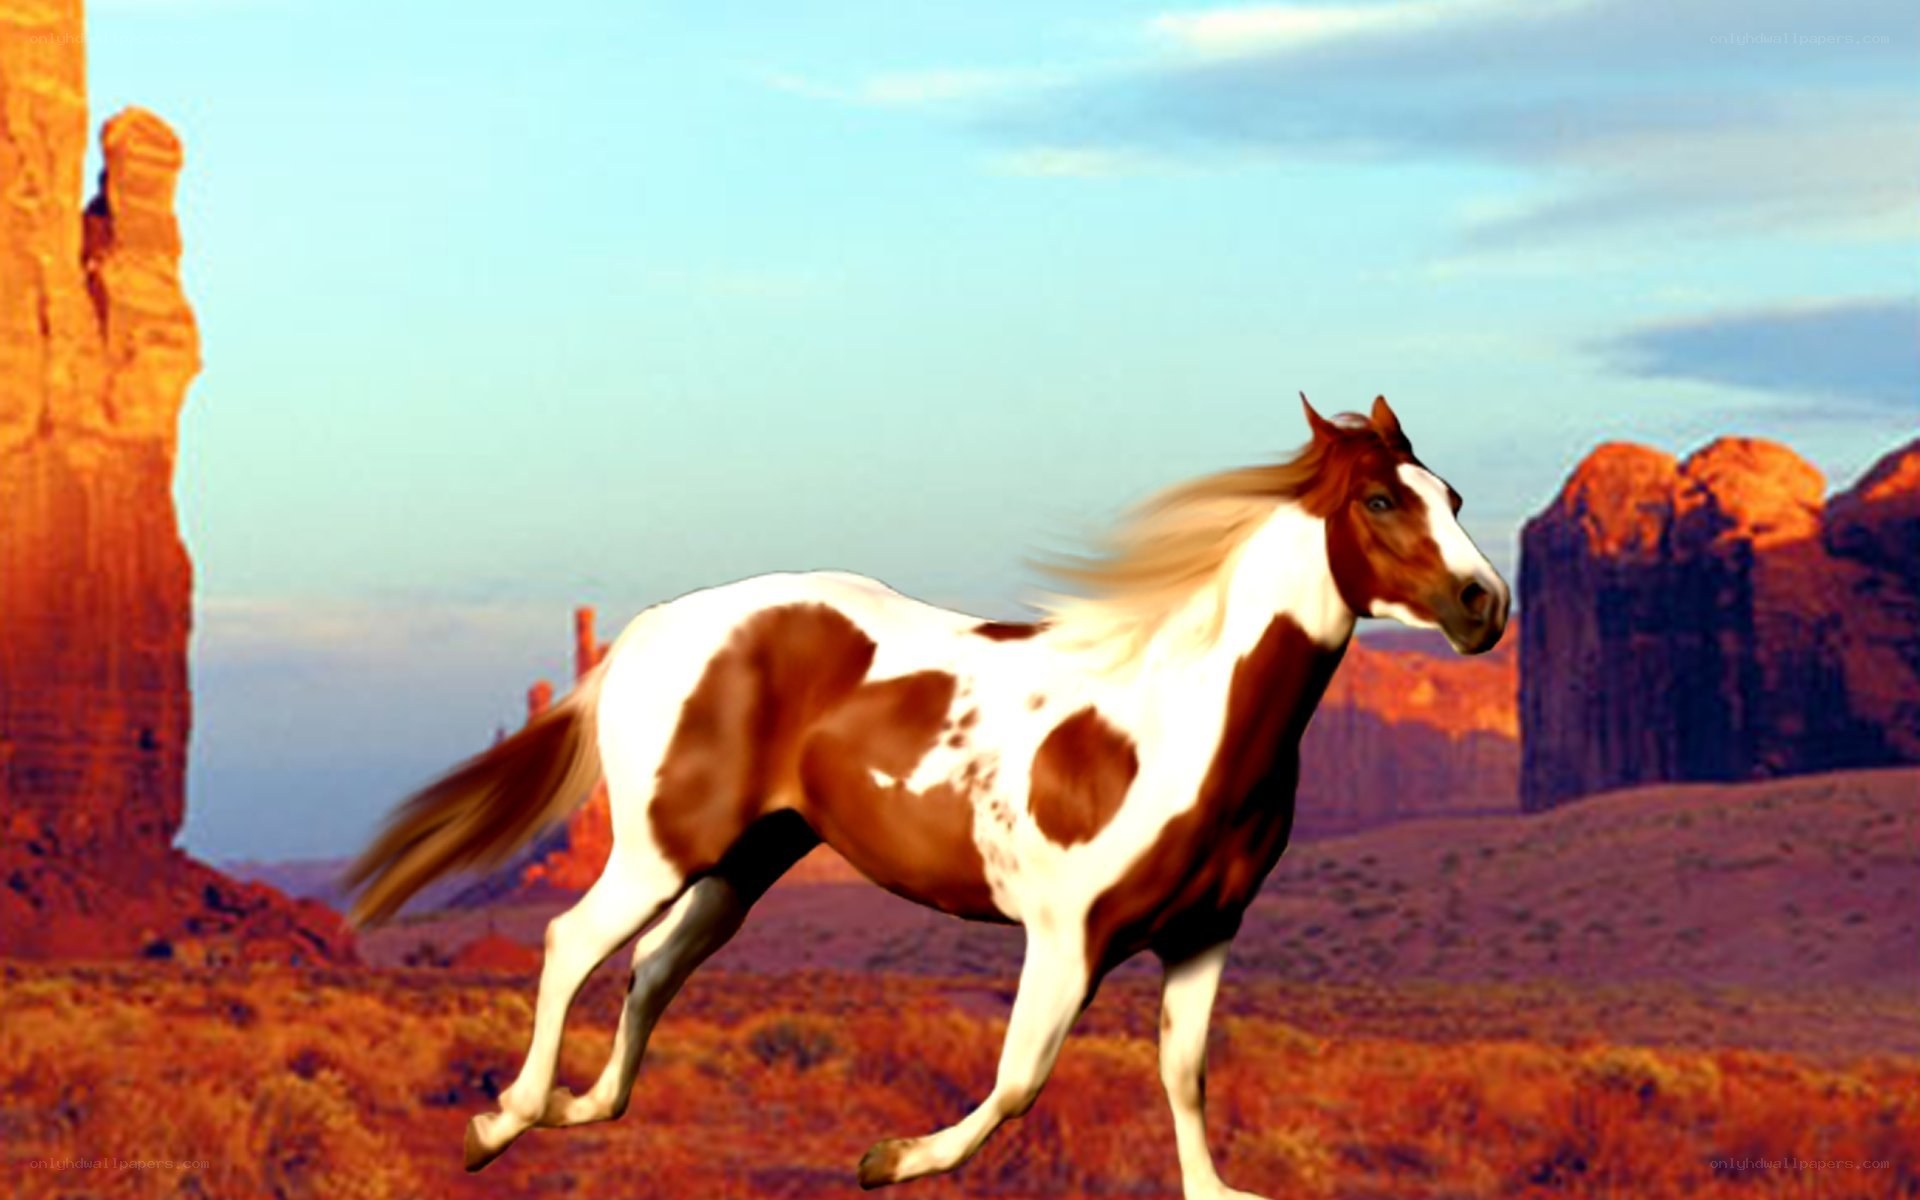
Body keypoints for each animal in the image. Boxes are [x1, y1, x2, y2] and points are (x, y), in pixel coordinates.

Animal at [343, 394, 1509, 1197]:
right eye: (1379, 500)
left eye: (1453, 498)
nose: (1483, 606)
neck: (1180, 717)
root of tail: (653, 627)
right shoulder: (1068, 935)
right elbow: (1020, 1079)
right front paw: (888, 1158)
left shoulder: (1204, 932)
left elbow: (1183, 1076)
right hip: (662, 847)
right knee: (572, 941)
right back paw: (502, 1123)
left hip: (745, 863)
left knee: (653, 967)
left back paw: (583, 1106)